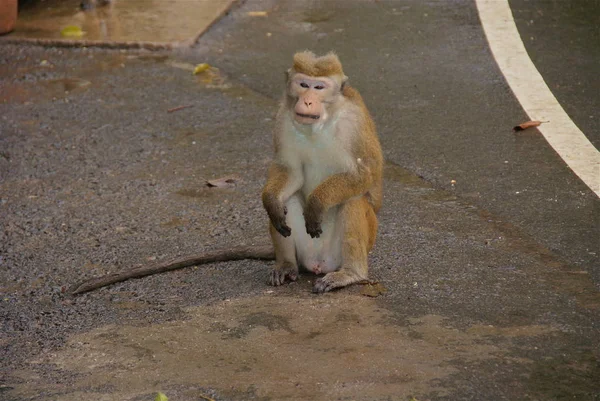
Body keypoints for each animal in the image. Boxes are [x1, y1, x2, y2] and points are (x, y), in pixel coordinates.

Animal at [262, 51, 384, 292]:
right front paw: (271, 201)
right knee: (287, 199)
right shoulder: (283, 119)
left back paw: (351, 274)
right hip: (306, 251)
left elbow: (366, 174)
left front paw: (317, 202)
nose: (308, 100)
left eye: (319, 87)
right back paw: (287, 265)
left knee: (352, 201)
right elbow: (290, 170)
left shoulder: (354, 122)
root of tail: (319, 263)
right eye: (303, 84)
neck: (319, 124)